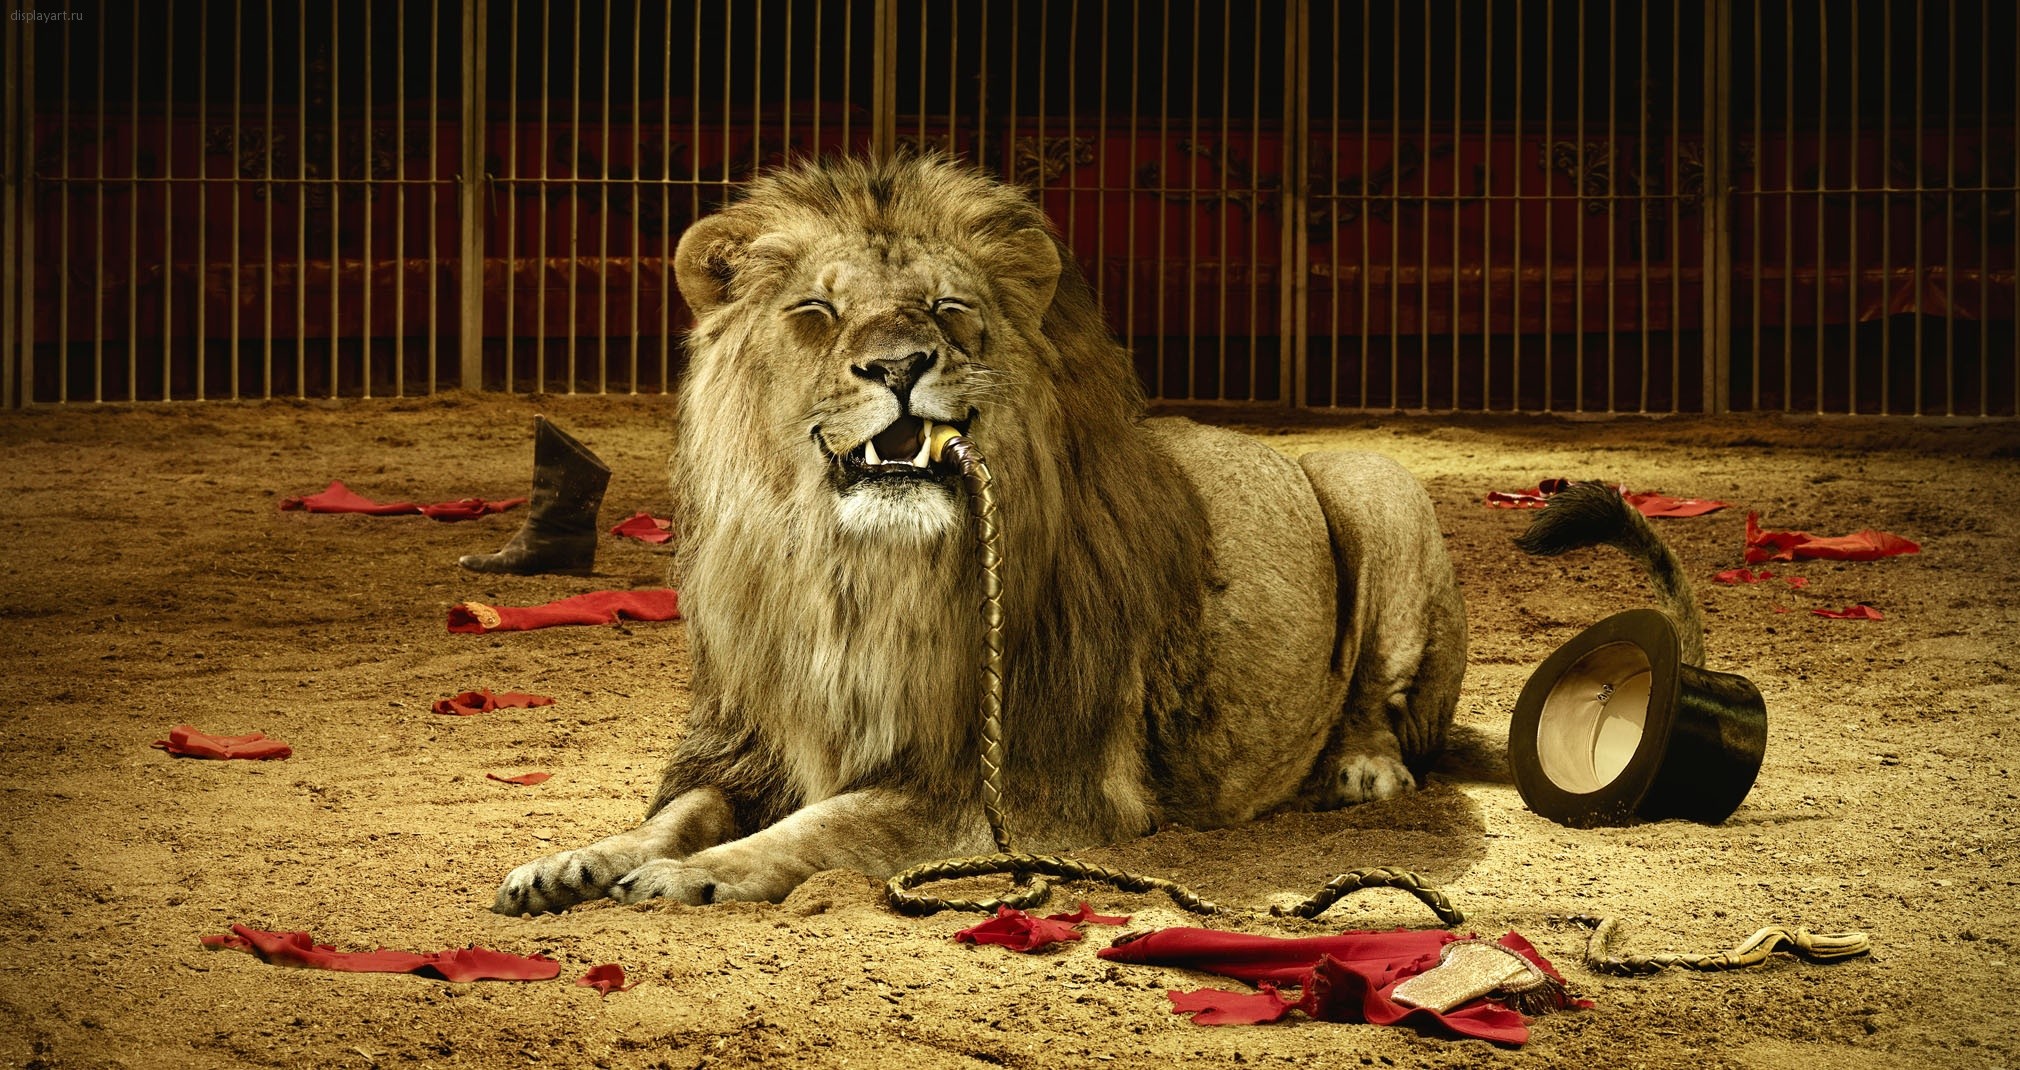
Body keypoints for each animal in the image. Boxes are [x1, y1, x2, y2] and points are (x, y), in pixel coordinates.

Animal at [492, 156, 1467, 914]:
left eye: (948, 306)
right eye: (815, 312)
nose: (898, 365)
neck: (856, 577)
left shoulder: (1026, 787)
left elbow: (827, 826)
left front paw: (696, 875)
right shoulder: (749, 744)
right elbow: (675, 814)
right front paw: (576, 862)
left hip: (1376, 483)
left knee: (1380, 696)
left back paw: (1363, 773)